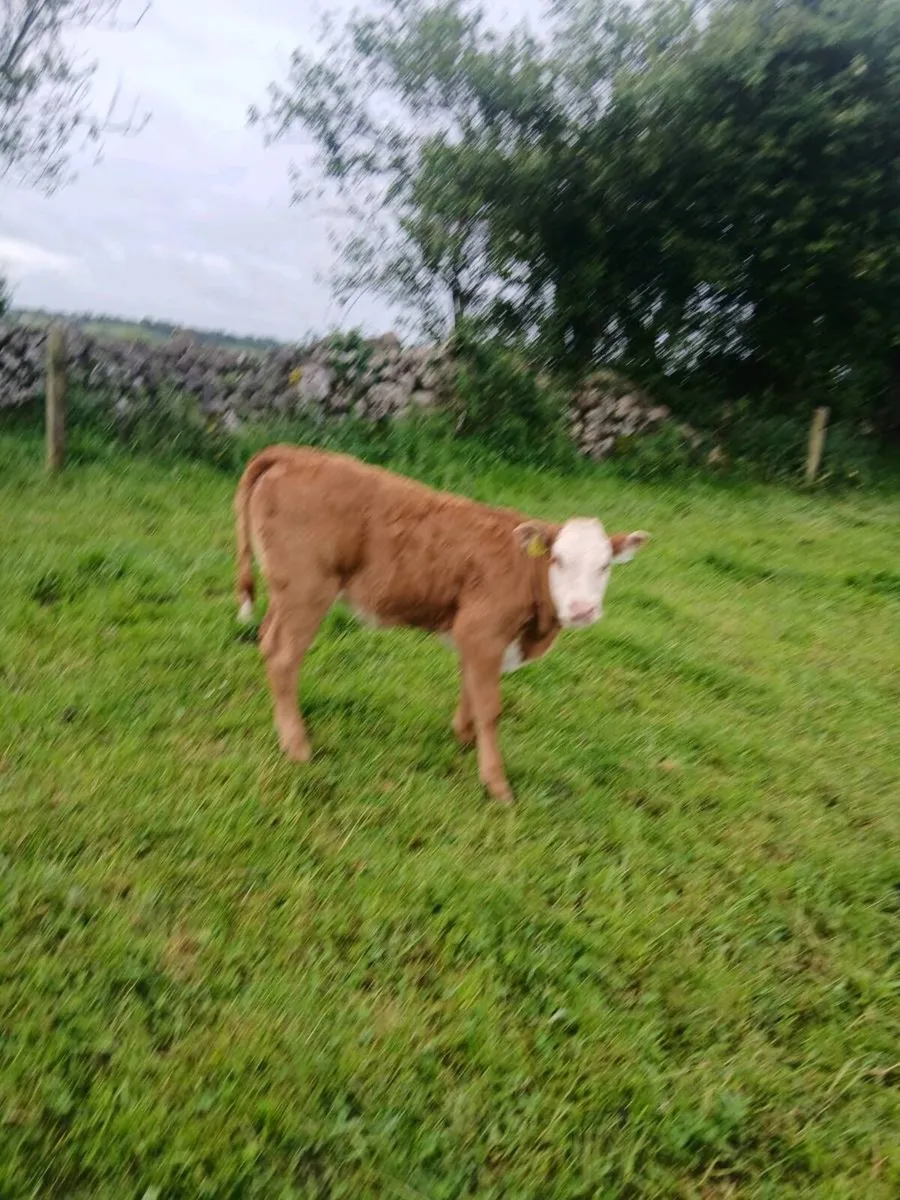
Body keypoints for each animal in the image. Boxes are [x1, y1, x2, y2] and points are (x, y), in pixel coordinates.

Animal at [234, 444, 649, 804]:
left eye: (605, 566)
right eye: (557, 560)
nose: (582, 609)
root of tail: (293, 452)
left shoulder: (474, 637)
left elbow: (471, 690)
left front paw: (464, 739)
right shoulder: (483, 631)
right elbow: (490, 707)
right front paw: (496, 784)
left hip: (285, 594)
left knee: (267, 640)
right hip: (307, 591)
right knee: (284, 657)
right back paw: (297, 746)